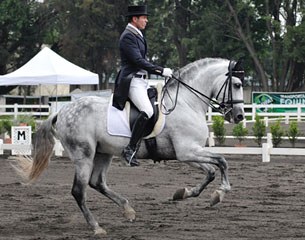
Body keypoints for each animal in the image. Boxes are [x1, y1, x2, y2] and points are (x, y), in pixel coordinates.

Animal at [12, 57, 245, 234]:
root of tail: (61, 111)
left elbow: (211, 170)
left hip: (103, 153)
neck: (187, 102)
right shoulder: (187, 151)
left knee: (97, 183)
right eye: (237, 85)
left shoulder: (188, 153)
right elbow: (222, 161)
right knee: (79, 190)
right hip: (83, 155)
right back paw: (97, 227)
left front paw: (185, 193)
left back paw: (127, 209)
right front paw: (220, 192)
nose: (239, 116)